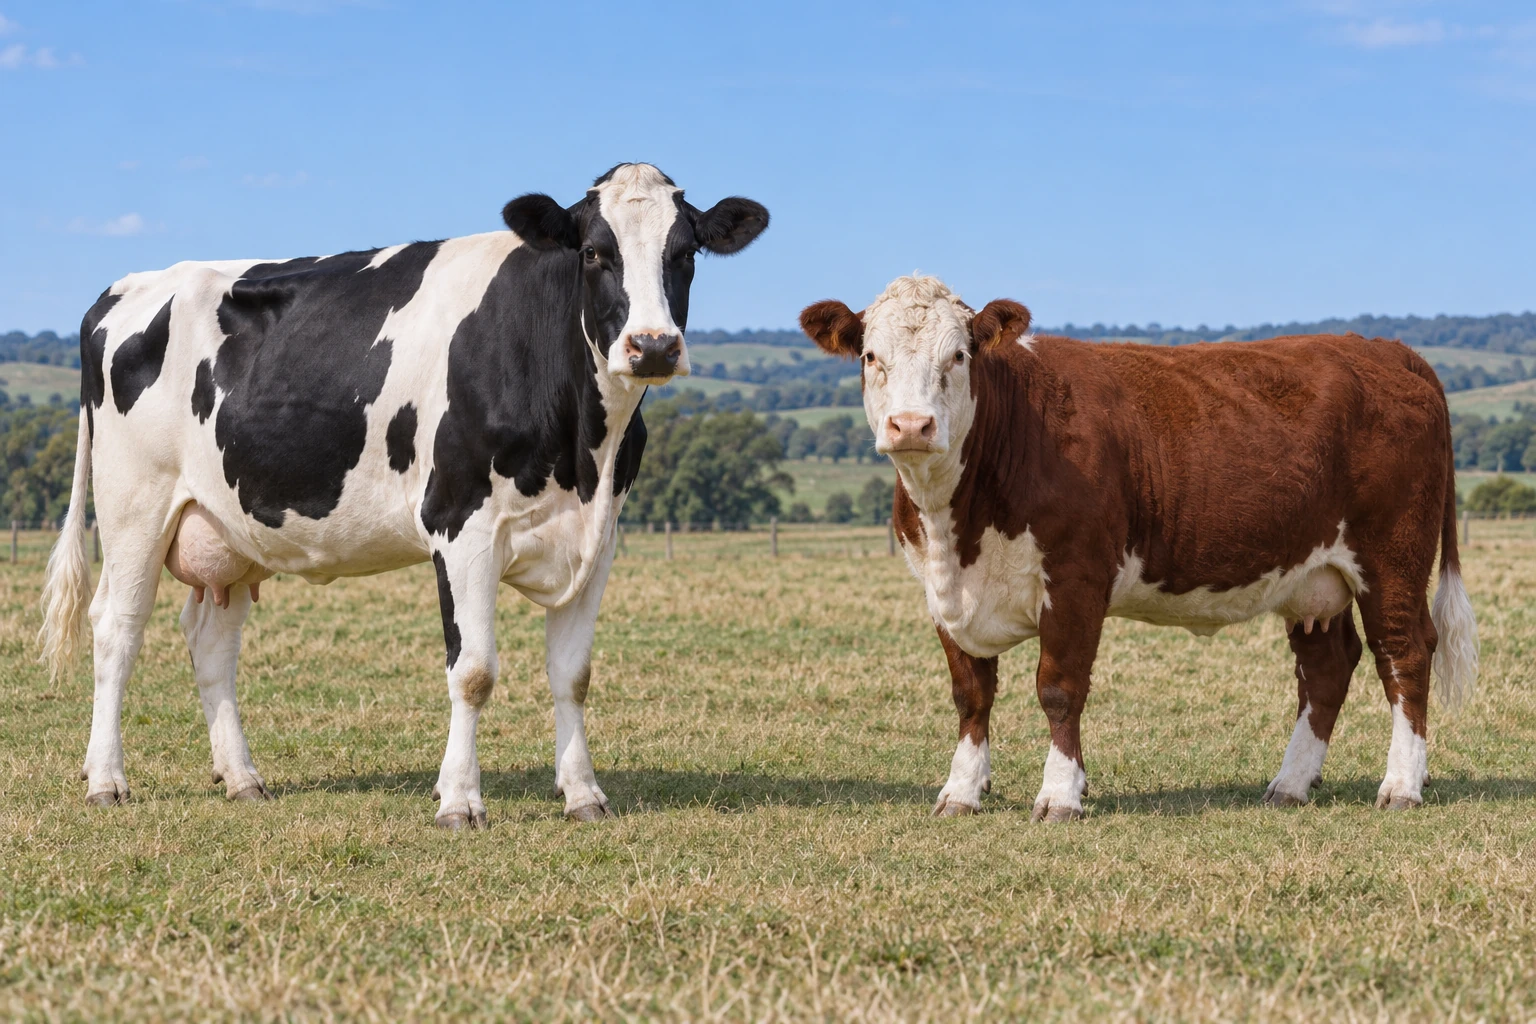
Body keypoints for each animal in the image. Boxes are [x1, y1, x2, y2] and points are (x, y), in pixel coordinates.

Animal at [40, 163, 768, 828]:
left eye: (685, 254)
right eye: (594, 252)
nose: (653, 346)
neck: (583, 444)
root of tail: (126, 288)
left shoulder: (597, 536)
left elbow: (574, 674)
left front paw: (584, 794)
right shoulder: (461, 524)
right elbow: (474, 671)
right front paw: (460, 802)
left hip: (230, 526)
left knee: (210, 640)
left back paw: (243, 778)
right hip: (135, 504)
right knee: (117, 628)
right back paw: (105, 780)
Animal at [800, 275, 1478, 821]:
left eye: (960, 354)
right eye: (870, 355)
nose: (911, 426)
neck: (958, 528)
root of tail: (1383, 348)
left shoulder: (1077, 575)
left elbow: (1059, 687)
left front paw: (1060, 795)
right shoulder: (940, 591)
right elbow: (971, 693)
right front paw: (962, 792)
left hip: (1391, 556)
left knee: (1404, 653)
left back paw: (1400, 786)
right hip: (1312, 574)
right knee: (1328, 666)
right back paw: (1289, 784)